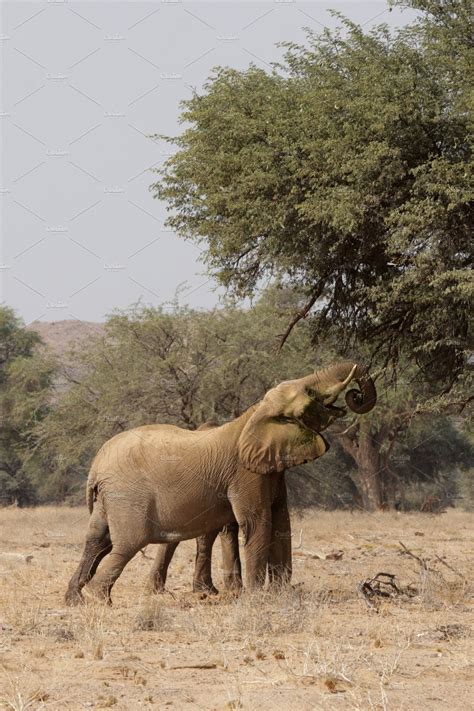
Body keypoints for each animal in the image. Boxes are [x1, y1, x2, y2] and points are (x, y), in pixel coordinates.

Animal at [65, 362, 374, 608]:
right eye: (310, 394)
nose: (356, 392)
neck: (255, 413)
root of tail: (96, 464)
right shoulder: (245, 473)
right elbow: (258, 522)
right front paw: (256, 599)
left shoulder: (271, 469)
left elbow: (281, 520)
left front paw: (279, 595)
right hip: (127, 494)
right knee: (128, 542)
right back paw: (97, 600)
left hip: (109, 497)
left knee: (97, 540)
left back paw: (75, 600)